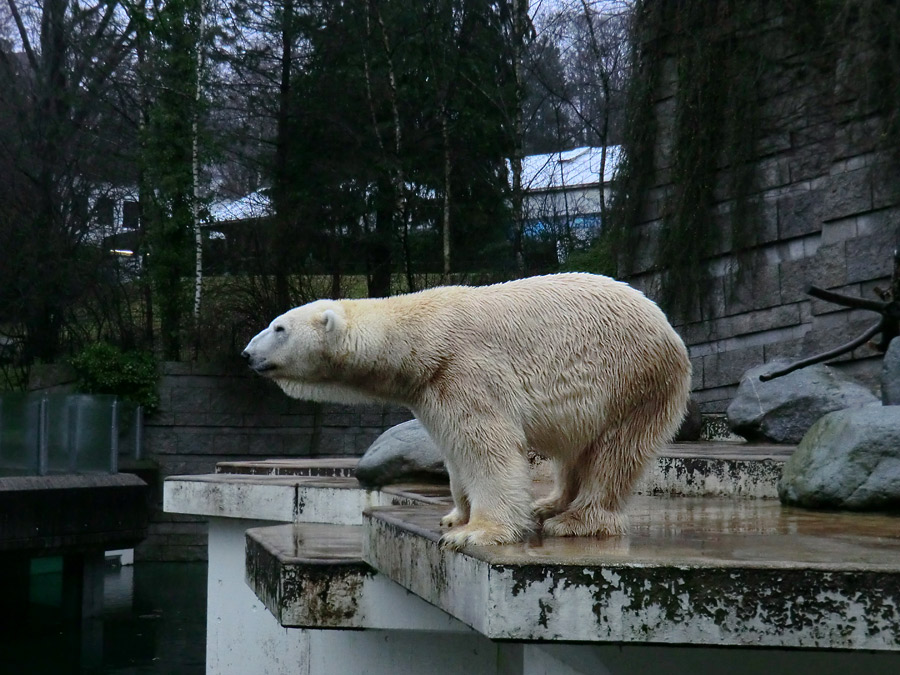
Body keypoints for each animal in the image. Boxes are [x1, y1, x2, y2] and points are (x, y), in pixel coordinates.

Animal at [239, 274, 688, 548]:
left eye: (279, 328)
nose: (246, 354)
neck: (421, 335)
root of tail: (668, 326)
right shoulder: (431, 392)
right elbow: (453, 451)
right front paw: (456, 516)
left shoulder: (465, 371)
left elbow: (488, 448)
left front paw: (477, 532)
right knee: (574, 448)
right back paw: (550, 504)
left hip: (632, 381)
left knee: (614, 452)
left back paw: (575, 520)